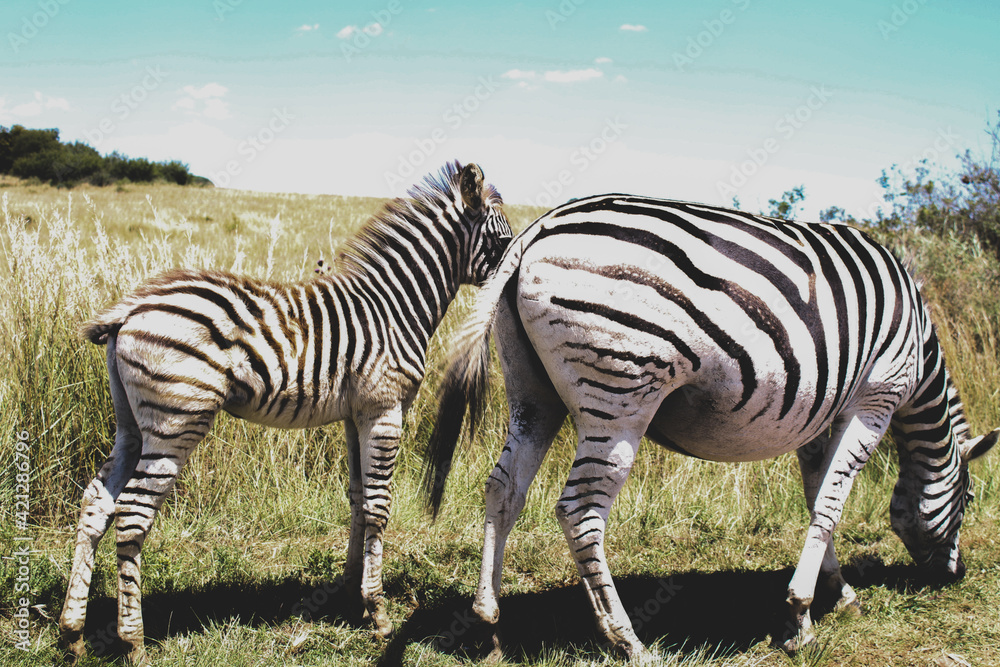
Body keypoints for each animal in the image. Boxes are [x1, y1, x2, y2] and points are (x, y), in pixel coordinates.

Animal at [58, 162, 511, 665]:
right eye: (503, 240)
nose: (515, 287)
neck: (394, 307)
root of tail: (132, 308)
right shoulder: (384, 408)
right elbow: (378, 506)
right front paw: (377, 612)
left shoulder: (355, 414)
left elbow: (357, 498)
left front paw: (348, 594)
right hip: (175, 421)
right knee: (133, 514)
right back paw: (133, 641)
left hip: (132, 425)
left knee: (96, 503)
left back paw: (72, 632)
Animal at [422, 194, 997, 660]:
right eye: (969, 500)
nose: (957, 576)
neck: (918, 347)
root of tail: (535, 230)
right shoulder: (875, 397)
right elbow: (832, 502)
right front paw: (800, 617)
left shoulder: (820, 413)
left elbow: (817, 496)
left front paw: (839, 592)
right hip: (619, 395)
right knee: (579, 510)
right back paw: (626, 638)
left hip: (533, 393)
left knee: (504, 489)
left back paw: (488, 622)